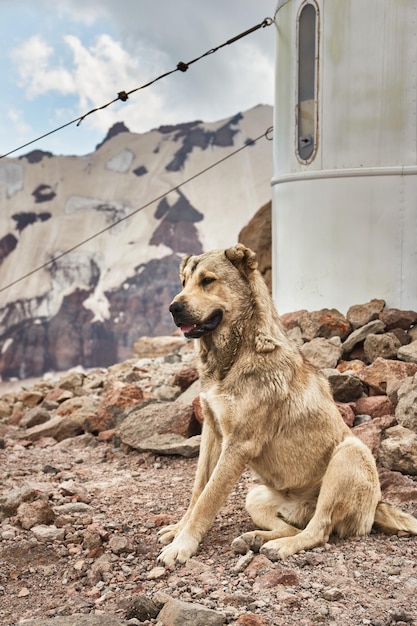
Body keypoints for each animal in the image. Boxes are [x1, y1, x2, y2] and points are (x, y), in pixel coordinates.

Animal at [157, 244, 416, 564]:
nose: (173, 308)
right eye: (183, 283)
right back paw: (254, 539)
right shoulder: (212, 432)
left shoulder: (239, 444)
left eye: (207, 280)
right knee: (293, 527)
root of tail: (378, 506)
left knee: (318, 530)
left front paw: (182, 544)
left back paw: (280, 546)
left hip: (349, 454)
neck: (235, 354)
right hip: (255, 496)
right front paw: (178, 530)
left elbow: (208, 498)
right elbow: (198, 490)